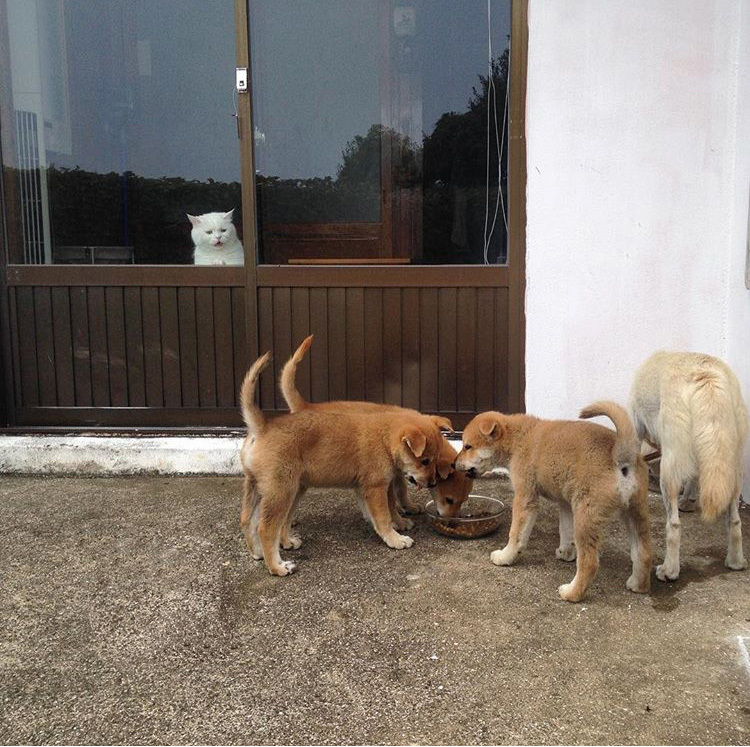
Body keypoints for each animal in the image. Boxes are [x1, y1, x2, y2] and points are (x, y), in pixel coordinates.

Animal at [238, 354, 444, 576]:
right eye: (424, 461)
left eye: (435, 459)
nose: (433, 483)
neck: (385, 438)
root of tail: (262, 428)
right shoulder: (376, 487)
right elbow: (384, 516)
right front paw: (395, 538)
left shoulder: (376, 485)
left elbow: (385, 509)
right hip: (281, 491)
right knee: (266, 528)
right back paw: (277, 566)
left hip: (266, 487)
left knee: (247, 519)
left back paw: (259, 551)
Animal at [280, 334, 472, 520]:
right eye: (449, 500)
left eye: (463, 502)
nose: (451, 522)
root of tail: (304, 406)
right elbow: (394, 495)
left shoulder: (396, 474)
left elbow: (401, 490)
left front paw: (407, 507)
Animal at [456, 404, 656, 600]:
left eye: (467, 446)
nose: (454, 464)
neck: (517, 438)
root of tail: (621, 455)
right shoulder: (565, 504)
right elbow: (565, 531)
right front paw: (566, 553)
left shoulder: (525, 498)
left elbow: (516, 536)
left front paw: (505, 557)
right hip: (635, 512)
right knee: (644, 554)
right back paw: (638, 585)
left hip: (585, 518)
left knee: (589, 563)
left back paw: (571, 593)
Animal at [632, 354, 748, 580]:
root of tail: (708, 375)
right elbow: (694, 477)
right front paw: (688, 501)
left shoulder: (638, 429)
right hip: (733, 466)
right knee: (735, 520)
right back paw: (736, 561)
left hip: (669, 471)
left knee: (674, 524)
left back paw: (669, 570)